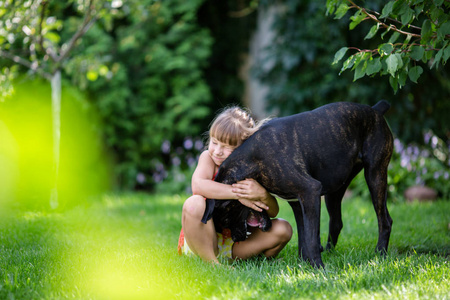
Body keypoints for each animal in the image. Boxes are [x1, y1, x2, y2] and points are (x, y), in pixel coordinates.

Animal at [201, 101, 394, 268]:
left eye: (226, 219)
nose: (237, 238)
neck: (252, 160)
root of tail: (375, 110)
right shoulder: (297, 203)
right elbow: (303, 237)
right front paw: (304, 264)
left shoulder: (309, 193)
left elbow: (310, 237)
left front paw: (318, 268)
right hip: (335, 191)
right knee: (336, 222)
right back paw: (330, 252)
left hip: (375, 175)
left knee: (384, 220)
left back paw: (379, 254)